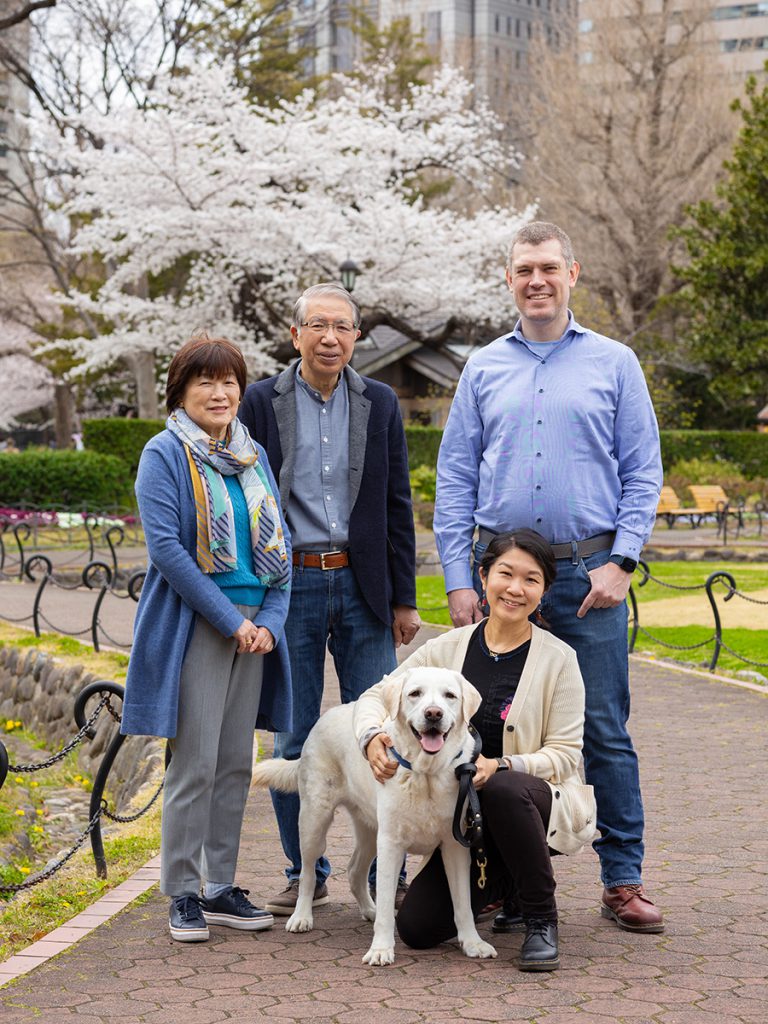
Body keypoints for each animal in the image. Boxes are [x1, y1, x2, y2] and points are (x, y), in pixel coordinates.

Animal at [252, 667, 499, 962]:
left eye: (449, 696)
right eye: (415, 693)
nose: (433, 714)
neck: (425, 773)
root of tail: (326, 716)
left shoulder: (455, 845)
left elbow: (462, 904)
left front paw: (473, 943)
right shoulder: (391, 843)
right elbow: (385, 905)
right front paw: (380, 949)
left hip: (370, 831)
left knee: (354, 871)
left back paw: (368, 910)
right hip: (314, 822)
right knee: (308, 873)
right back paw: (301, 917)